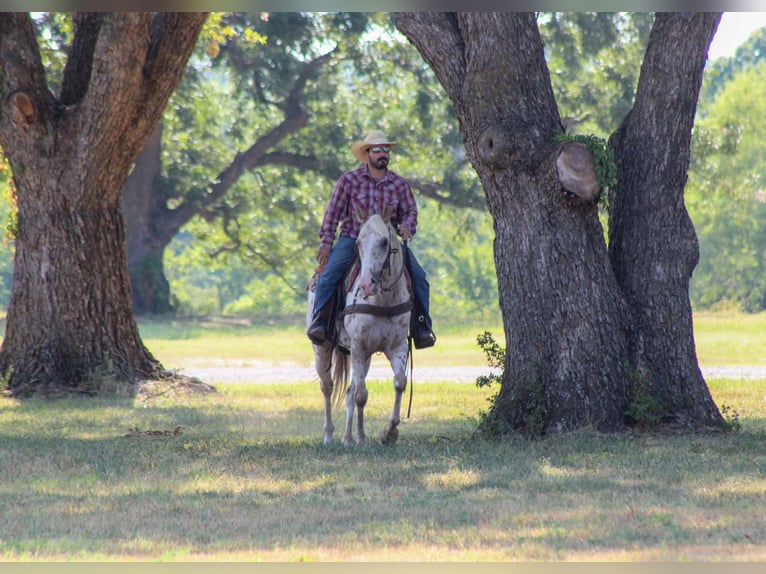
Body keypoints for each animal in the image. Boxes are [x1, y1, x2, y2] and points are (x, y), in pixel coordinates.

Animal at [307, 207, 412, 446]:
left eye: (384, 241)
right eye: (358, 243)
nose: (365, 285)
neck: (384, 299)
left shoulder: (397, 347)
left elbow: (399, 383)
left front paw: (389, 433)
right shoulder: (358, 345)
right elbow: (361, 396)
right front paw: (362, 438)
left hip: (365, 356)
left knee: (349, 391)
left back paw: (347, 437)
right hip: (322, 349)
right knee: (328, 387)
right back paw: (329, 435)